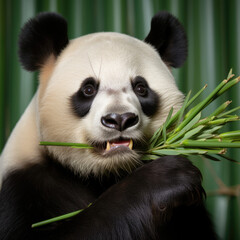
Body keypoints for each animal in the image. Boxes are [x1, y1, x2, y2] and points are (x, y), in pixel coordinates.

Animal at [0, 11, 218, 240]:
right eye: (88, 89)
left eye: (141, 88)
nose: (120, 119)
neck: (106, 173)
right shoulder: (24, 189)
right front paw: (167, 176)